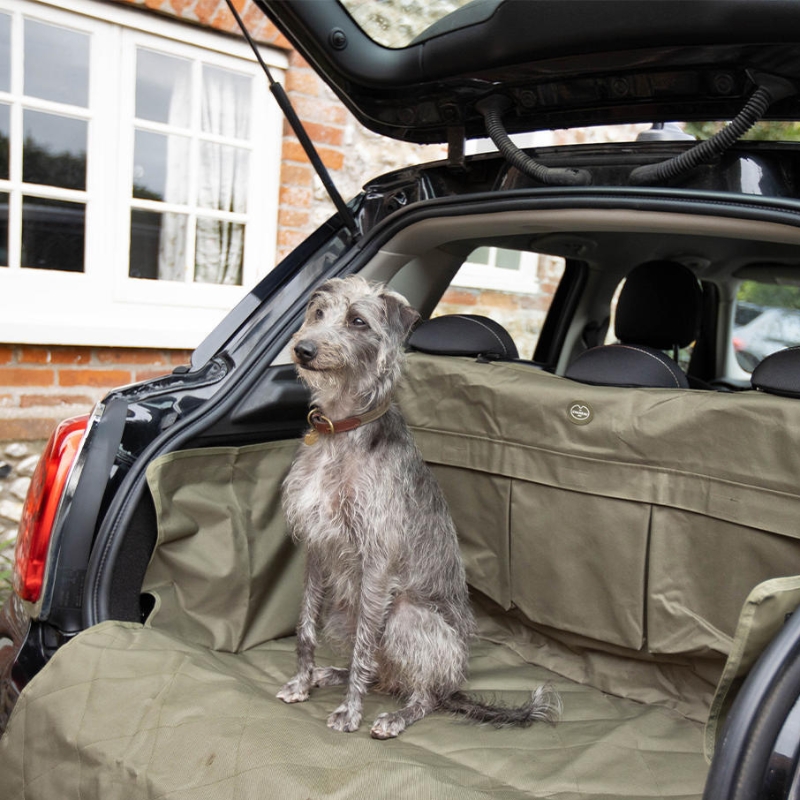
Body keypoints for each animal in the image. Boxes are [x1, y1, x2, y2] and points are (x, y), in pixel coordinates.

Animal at [278, 276, 560, 736]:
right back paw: (331, 674)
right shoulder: (317, 547)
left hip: (405, 616)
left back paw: (396, 715)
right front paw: (301, 682)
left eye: (358, 320)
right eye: (318, 313)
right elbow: (305, 627)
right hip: (343, 611)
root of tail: (454, 683)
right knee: (380, 670)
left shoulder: (377, 559)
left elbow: (363, 647)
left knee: (422, 693)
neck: (342, 429)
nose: (304, 349)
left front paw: (349, 712)